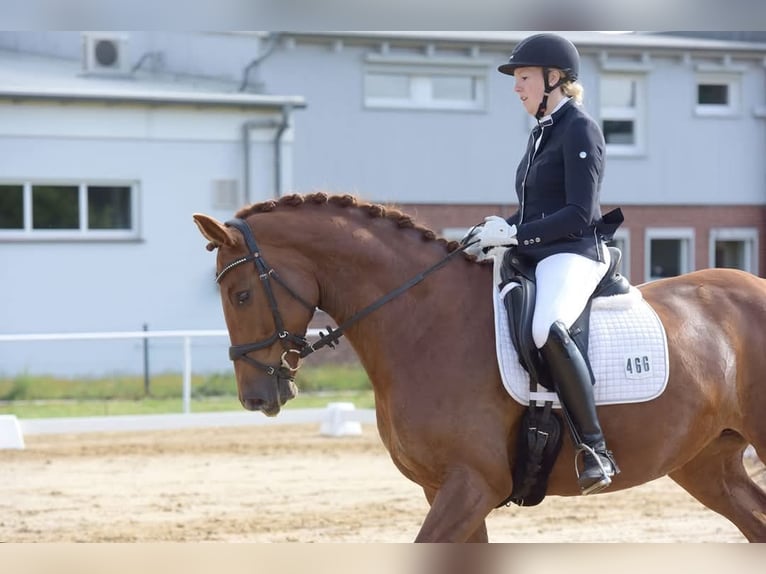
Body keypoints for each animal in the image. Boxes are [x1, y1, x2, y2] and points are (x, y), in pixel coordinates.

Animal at [194, 194, 766, 544]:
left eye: (241, 294)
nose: (256, 398)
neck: (425, 322)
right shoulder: (446, 489)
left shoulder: (473, 484)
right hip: (706, 464)